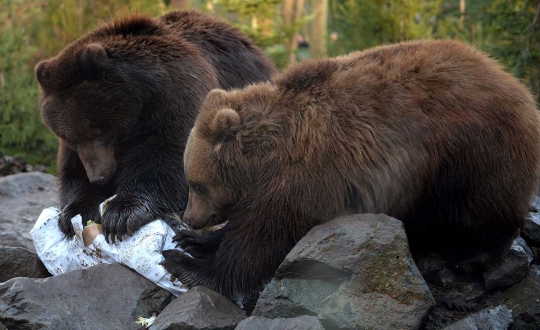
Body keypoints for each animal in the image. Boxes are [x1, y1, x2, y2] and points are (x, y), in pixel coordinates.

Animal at [35, 9, 276, 241]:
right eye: (69, 137)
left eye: (98, 130)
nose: (99, 177)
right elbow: (73, 170)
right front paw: (74, 213)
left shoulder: (175, 95)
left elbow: (166, 158)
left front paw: (121, 214)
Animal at [160, 39, 540, 300]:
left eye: (196, 183)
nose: (189, 217)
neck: (264, 158)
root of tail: (513, 83)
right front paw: (193, 241)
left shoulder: (305, 176)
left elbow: (261, 239)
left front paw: (184, 263)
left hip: (469, 150)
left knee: (482, 206)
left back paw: (469, 255)